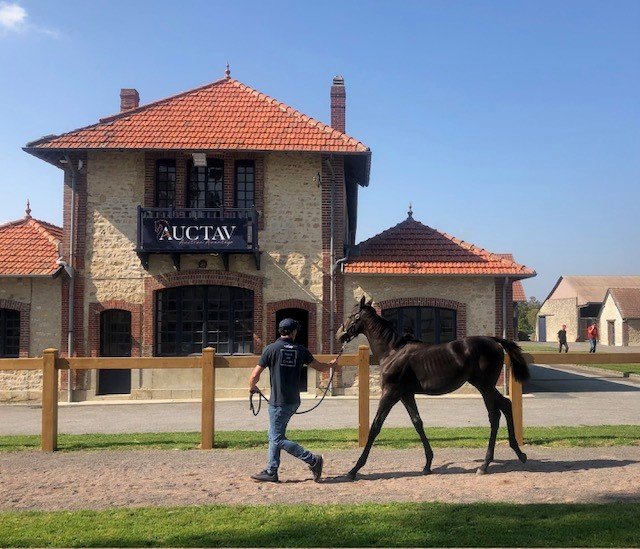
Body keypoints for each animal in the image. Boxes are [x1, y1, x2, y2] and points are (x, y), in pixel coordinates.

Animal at [336, 296, 530, 479]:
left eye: (351, 315)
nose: (339, 335)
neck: (392, 352)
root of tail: (493, 341)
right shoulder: (405, 394)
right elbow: (417, 422)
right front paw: (427, 464)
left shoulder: (390, 393)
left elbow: (376, 425)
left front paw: (354, 469)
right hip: (484, 386)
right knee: (504, 406)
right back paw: (518, 454)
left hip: (485, 386)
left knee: (495, 415)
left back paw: (485, 465)